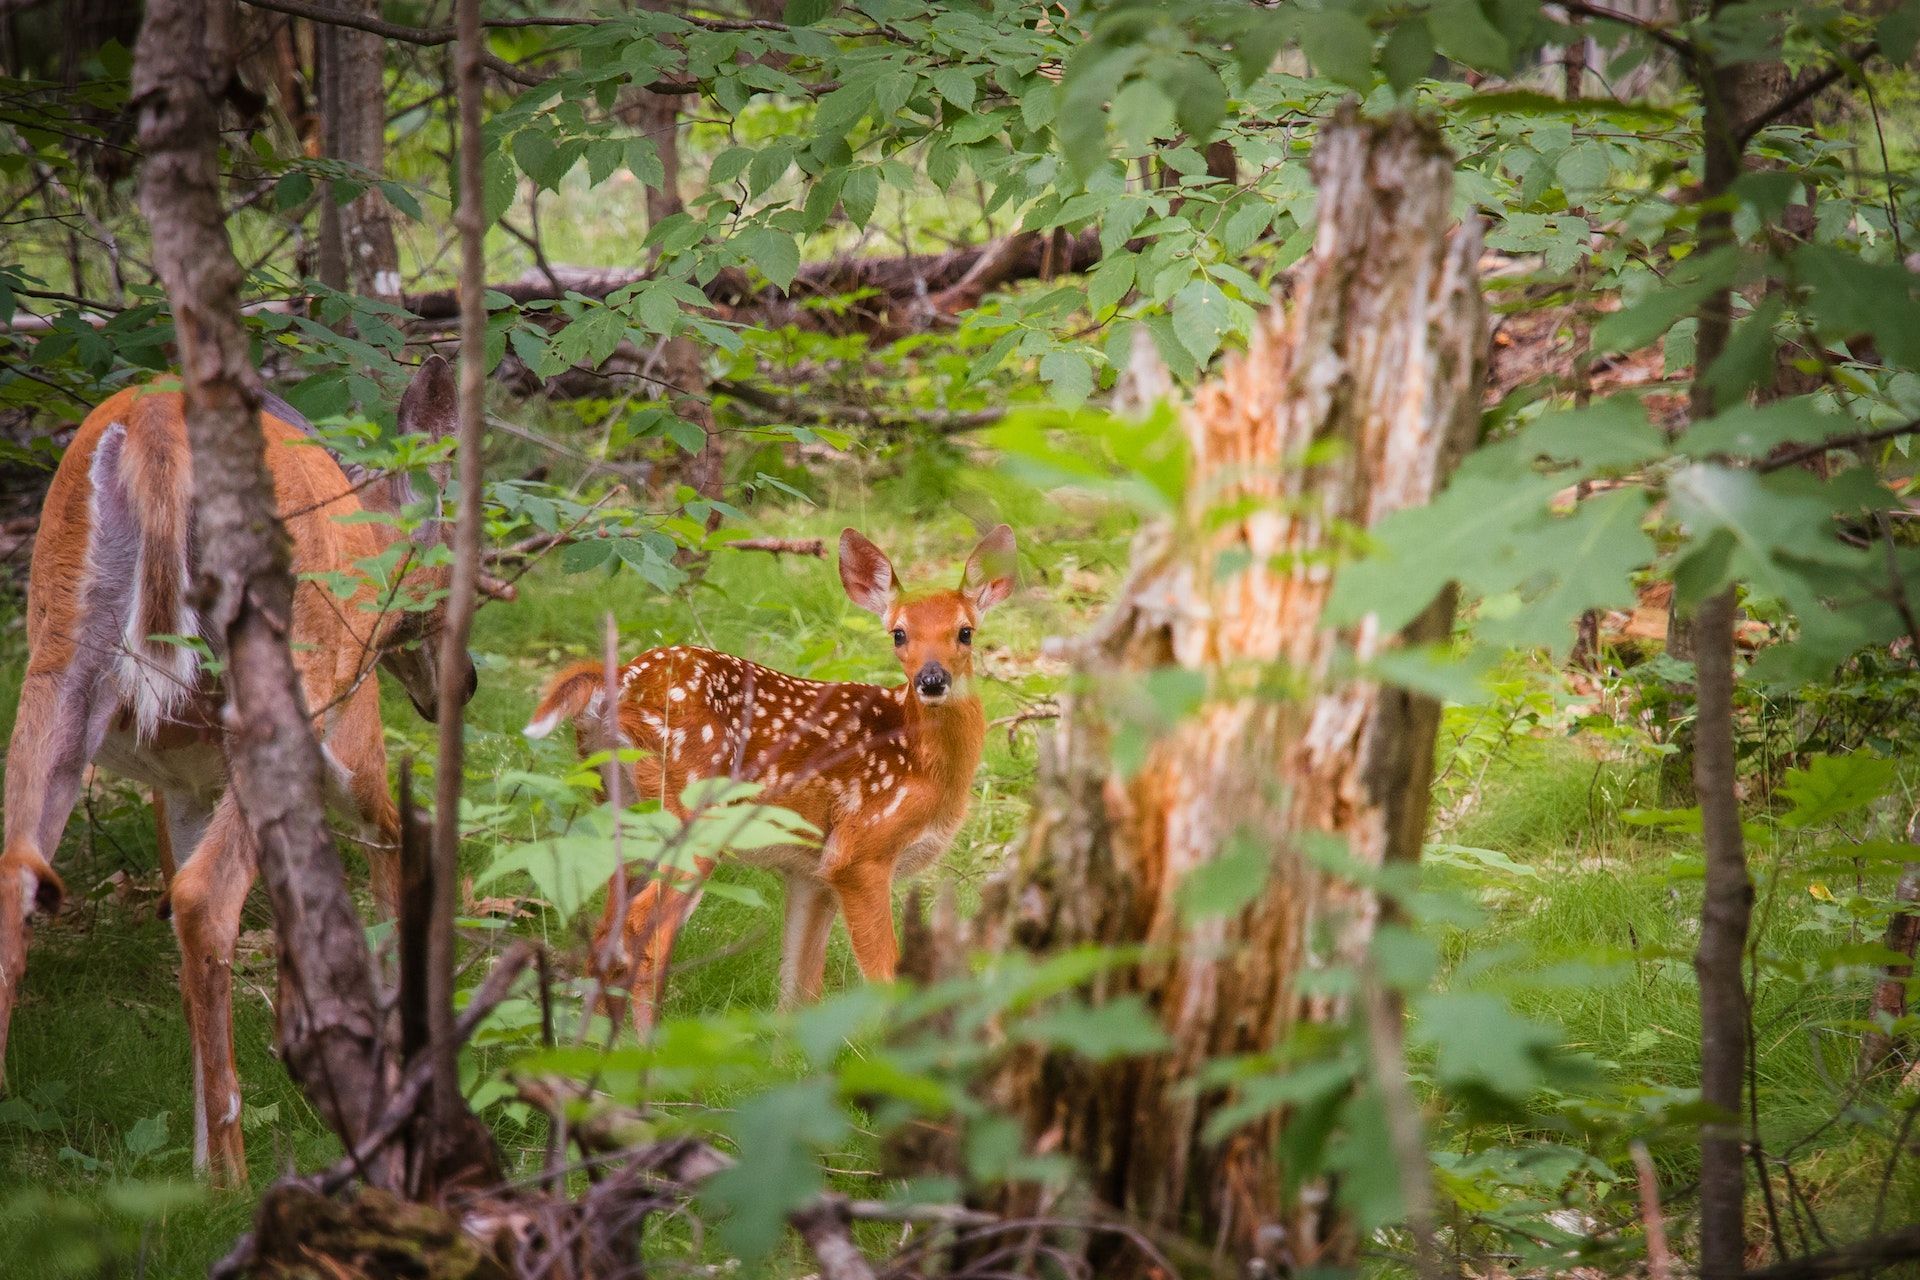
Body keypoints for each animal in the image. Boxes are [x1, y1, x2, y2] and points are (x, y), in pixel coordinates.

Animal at [0, 358, 476, 1182]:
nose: (467, 681)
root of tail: (156, 418)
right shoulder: (351, 737)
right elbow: (392, 848)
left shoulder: (182, 781)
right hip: (291, 675)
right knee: (205, 899)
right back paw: (235, 1177)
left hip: (57, 656)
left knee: (17, 879)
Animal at [518, 525, 1013, 1036]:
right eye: (899, 633)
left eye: (965, 632)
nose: (932, 680)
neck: (922, 764)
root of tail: (615, 684)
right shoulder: (860, 851)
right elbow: (887, 978)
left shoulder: (810, 872)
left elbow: (799, 992)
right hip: (690, 815)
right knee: (642, 934)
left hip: (619, 808)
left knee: (604, 931)